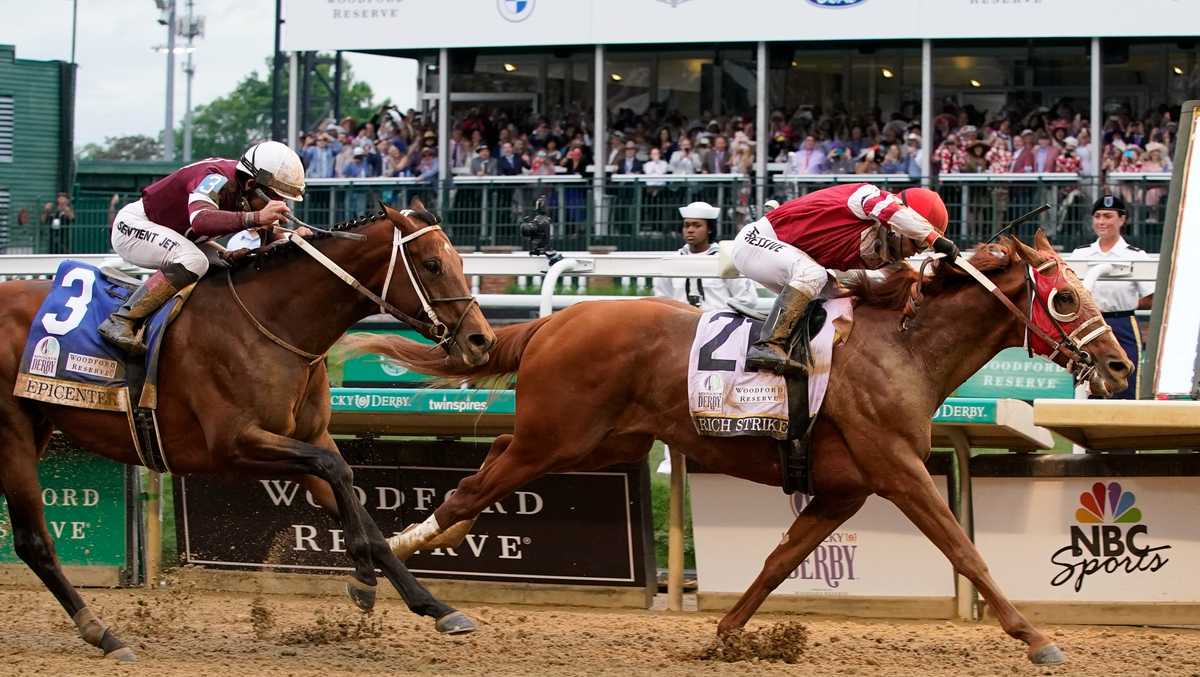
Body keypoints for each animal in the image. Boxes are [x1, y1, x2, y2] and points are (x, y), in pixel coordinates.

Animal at [0, 200, 496, 662]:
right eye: (432, 265)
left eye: (459, 262)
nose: (482, 341)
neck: (273, 323)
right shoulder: (236, 444)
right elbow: (336, 470)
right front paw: (364, 577)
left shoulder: (307, 439)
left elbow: (354, 498)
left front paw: (431, 605)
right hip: (13, 434)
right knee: (33, 541)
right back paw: (105, 634)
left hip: (37, 426)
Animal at [350, 232, 1132, 667]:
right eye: (1064, 299)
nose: (1121, 366)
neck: (903, 346)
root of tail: (554, 322)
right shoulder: (898, 470)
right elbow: (965, 550)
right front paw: (1035, 635)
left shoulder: (844, 488)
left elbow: (779, 560)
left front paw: (724, 633)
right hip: (555, 436)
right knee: (467, 489)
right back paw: (390, 564)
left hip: (592, 443)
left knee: (481, 483)